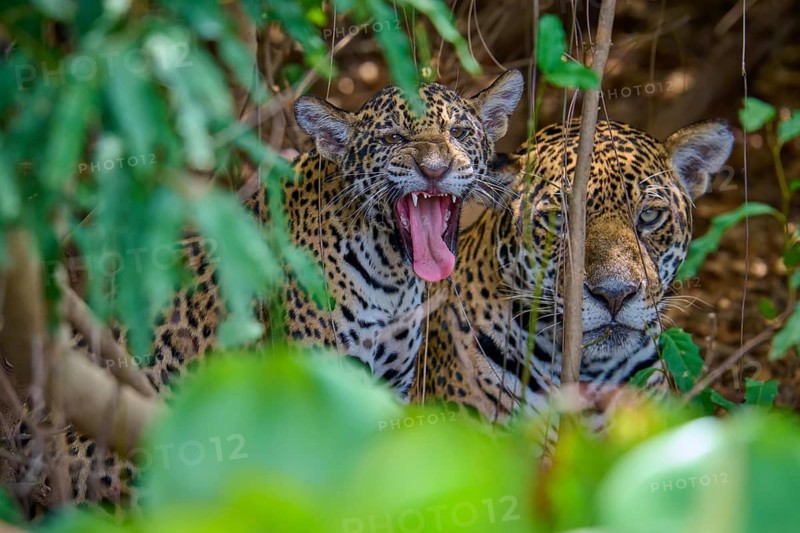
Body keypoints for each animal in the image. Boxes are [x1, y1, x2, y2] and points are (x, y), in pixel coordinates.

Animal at [3, 71, 524, 517]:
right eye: (394, 139)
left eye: (460, 132)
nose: (435, 170)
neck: (393, 273)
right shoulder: (316, 390)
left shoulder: (388, 387)